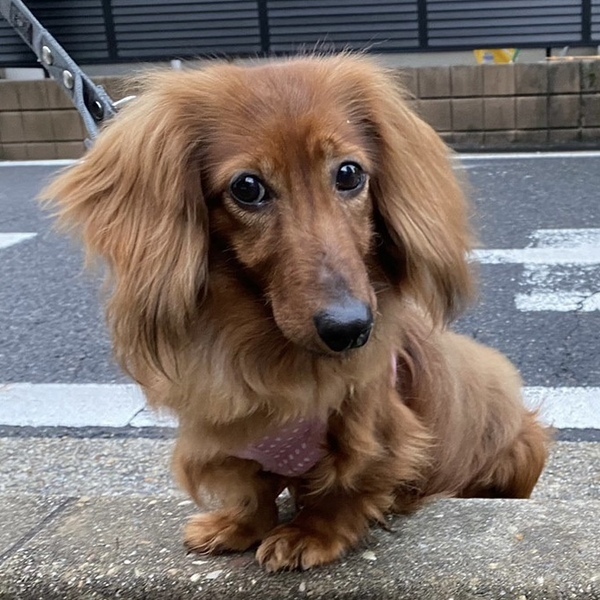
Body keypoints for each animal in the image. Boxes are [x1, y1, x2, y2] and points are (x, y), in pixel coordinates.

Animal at [43, 54, 549, 571]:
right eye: (247, 187)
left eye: (349, 173)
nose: (350, 329)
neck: (274, 354)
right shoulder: (227, 430)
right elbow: (252, 488)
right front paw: (238, 525)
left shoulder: (372, 424)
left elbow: (346, 484)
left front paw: (310, 532)